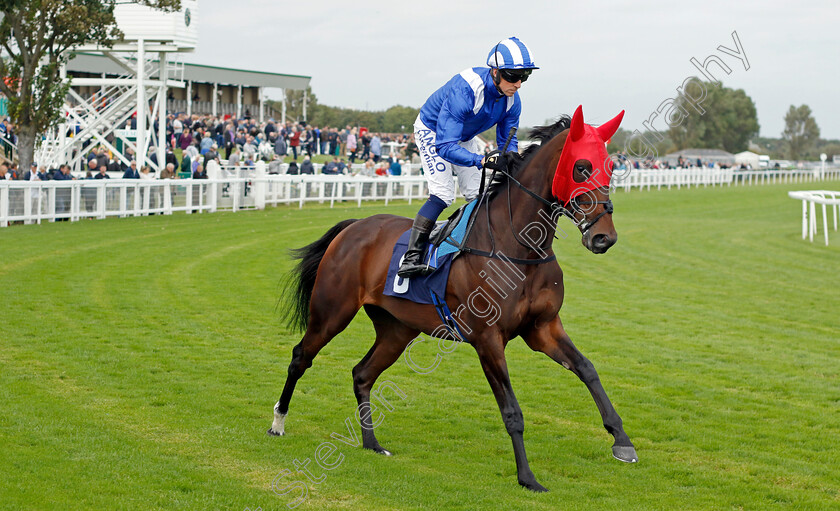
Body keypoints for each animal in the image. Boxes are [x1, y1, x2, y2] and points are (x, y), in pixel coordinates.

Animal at [270, 107, 636, 492]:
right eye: (581, 167)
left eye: (610, 166)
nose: (603, 237)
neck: (517, 248)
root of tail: (355, 226)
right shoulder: (488, 339)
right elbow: (512, 411)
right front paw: (527, 477)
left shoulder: (543, 328)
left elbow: (587, 369)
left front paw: (622, 442)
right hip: (332, 312)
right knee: (301, 357)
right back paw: (278, 422)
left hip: (397, 329)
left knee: (362, 374)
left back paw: (372, 443)